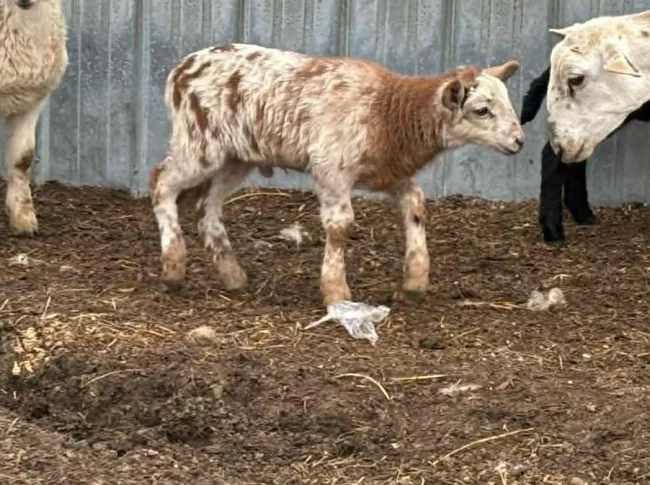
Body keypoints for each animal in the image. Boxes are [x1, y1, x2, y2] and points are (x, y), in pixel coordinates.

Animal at [149, 43, 524, 306]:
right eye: (482, 110)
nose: (520, 141)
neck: (387, 113)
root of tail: (182, 68)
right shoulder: (331, 169)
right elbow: (340, 226)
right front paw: (336, 290)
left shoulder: (390, 171)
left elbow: (416, 207)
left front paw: (415, 282)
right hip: (200, 146)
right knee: (161, 181)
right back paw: (173, 266)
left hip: (235, 157)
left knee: (207, 209)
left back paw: (232, 275)